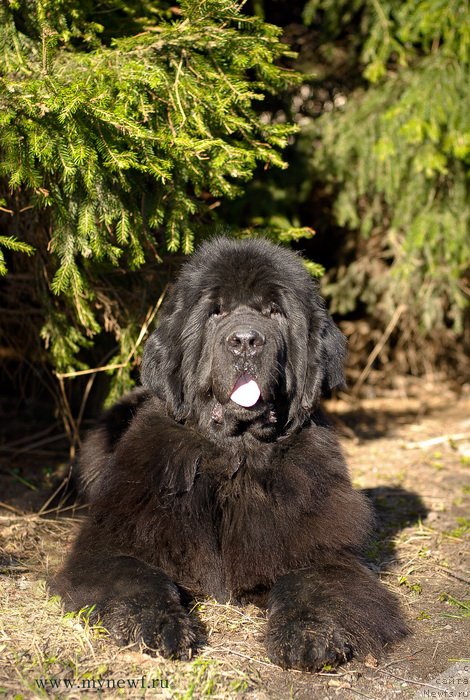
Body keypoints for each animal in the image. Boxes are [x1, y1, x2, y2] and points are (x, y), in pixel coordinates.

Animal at [56, 238, 408, 668]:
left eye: (274, 311)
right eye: (216, 311)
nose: (245, 341)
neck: (234, 459)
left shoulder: (325, 551)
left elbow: (311, 581)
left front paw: (308, 634)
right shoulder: (111, 543)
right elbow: (137, 577)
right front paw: (157, 626)